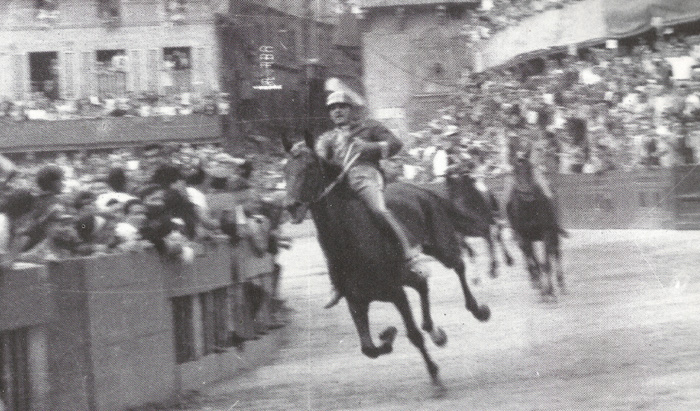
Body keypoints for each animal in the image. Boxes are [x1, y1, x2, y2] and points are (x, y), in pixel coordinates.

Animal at [282, 139, 490, 386]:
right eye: (285, 170)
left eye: (310, 168)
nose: (291, 206)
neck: (352, 241)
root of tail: (420, 189)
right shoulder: (356, 301)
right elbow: (368, 349)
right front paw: (388, 335)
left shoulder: (396, 293)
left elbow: (413, 335)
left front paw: (433, 372)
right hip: (409, 270)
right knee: (422, 284)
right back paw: (436, 332)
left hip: (441, 245)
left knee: (458, 265)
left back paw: (477, 310)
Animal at [506, 153, 568, 300]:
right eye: (515, 171)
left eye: (529, 169)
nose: (525, 193)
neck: (529, 208)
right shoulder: (524, 237)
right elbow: (535, 261)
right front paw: (542, 291)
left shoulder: (547, 233)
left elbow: (546, 264)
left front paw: (550, 293)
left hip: (554, 233)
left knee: (556, 252)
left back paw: (561, 284)